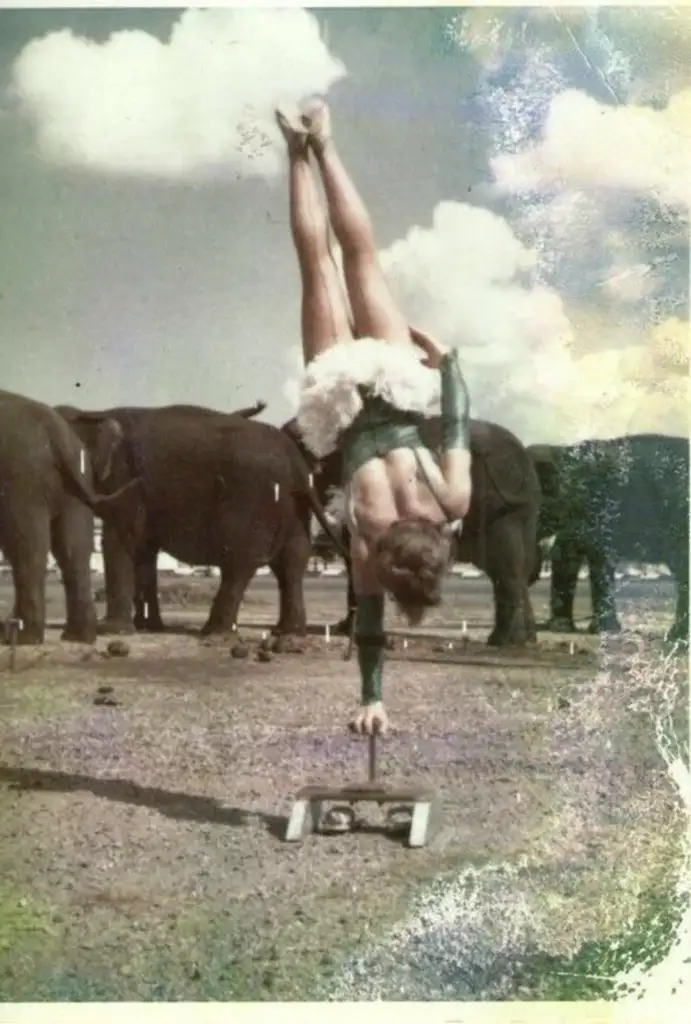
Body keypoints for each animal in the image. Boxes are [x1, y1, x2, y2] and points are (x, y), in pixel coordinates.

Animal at [0, 387, 142, 643]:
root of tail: (53, 430)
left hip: (21, 478)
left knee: (26, 547)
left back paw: (23, 638)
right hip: (68, 481)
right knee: (73, 547)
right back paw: (78, 636)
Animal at [56, 403, 346, 634]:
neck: (95, 413)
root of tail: (295, 457)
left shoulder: (125, 480)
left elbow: (118, 540)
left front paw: (111, 630)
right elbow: (144, 551)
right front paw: (147, 627)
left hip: (253, 498)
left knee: (240, 562)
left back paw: (214, 634)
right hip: (293, 504)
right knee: (292, 560)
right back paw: (287, 634)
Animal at [284, 411, 544, 643]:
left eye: (317, 464)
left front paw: (350, 630)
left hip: (495, 500)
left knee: (505, 564)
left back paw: (503, 641)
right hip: (523, 508)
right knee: (518, 563)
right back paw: (524, 640)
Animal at [528, 436, 687, 643]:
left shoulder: (602, 508)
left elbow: (601, 556)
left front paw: (605, 629)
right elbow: (564, 556)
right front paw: (560, 627)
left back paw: (677, 636)